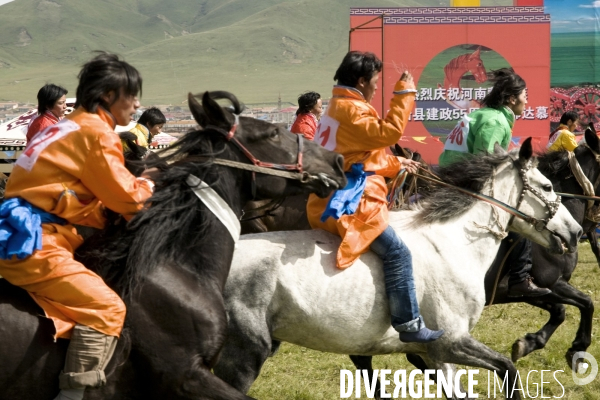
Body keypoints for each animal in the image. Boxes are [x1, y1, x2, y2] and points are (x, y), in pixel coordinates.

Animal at [214, 138, 580, 400]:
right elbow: (508, 369)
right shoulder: (450, 342)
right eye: (548, 186)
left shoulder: (432, 356)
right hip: (243, 357)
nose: (575, 231)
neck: (454, 242)